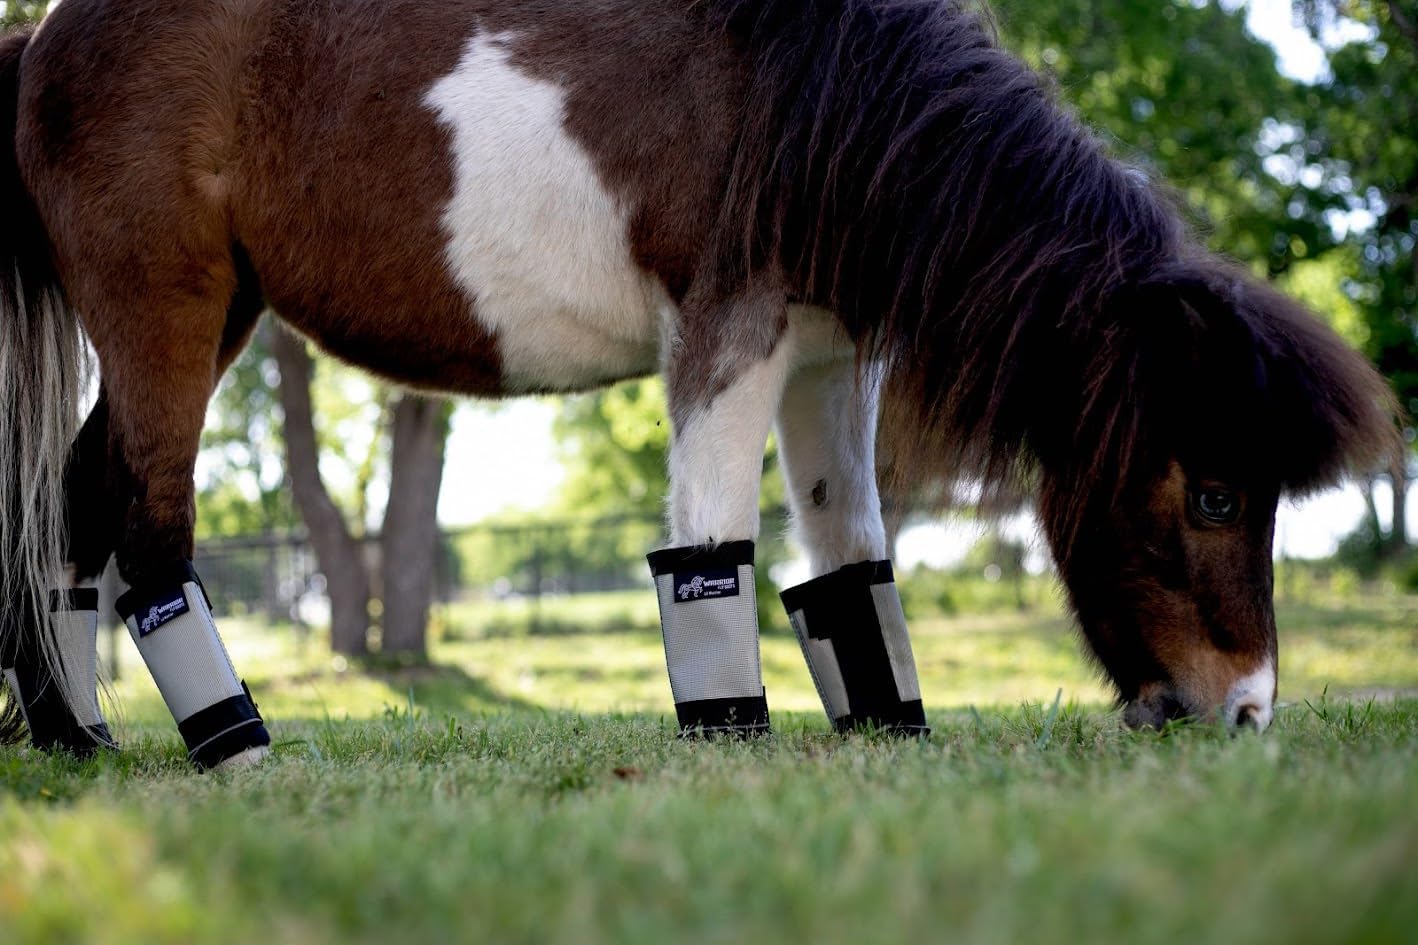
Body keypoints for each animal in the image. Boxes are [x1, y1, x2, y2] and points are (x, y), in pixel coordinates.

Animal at [0, 0, 1397, 765]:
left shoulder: (832, 361)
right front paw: (732, 735)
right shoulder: (729, 341)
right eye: (1213, 495)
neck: (815, 103)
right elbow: (710, 546)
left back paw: (80, 740)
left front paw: (885, 729)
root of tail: (48, 36)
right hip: (166, 313)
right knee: (148, 528)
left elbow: (849, 560)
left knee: (69, 514)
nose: (1244, 714)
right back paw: (234, 752)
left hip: (213, 316)